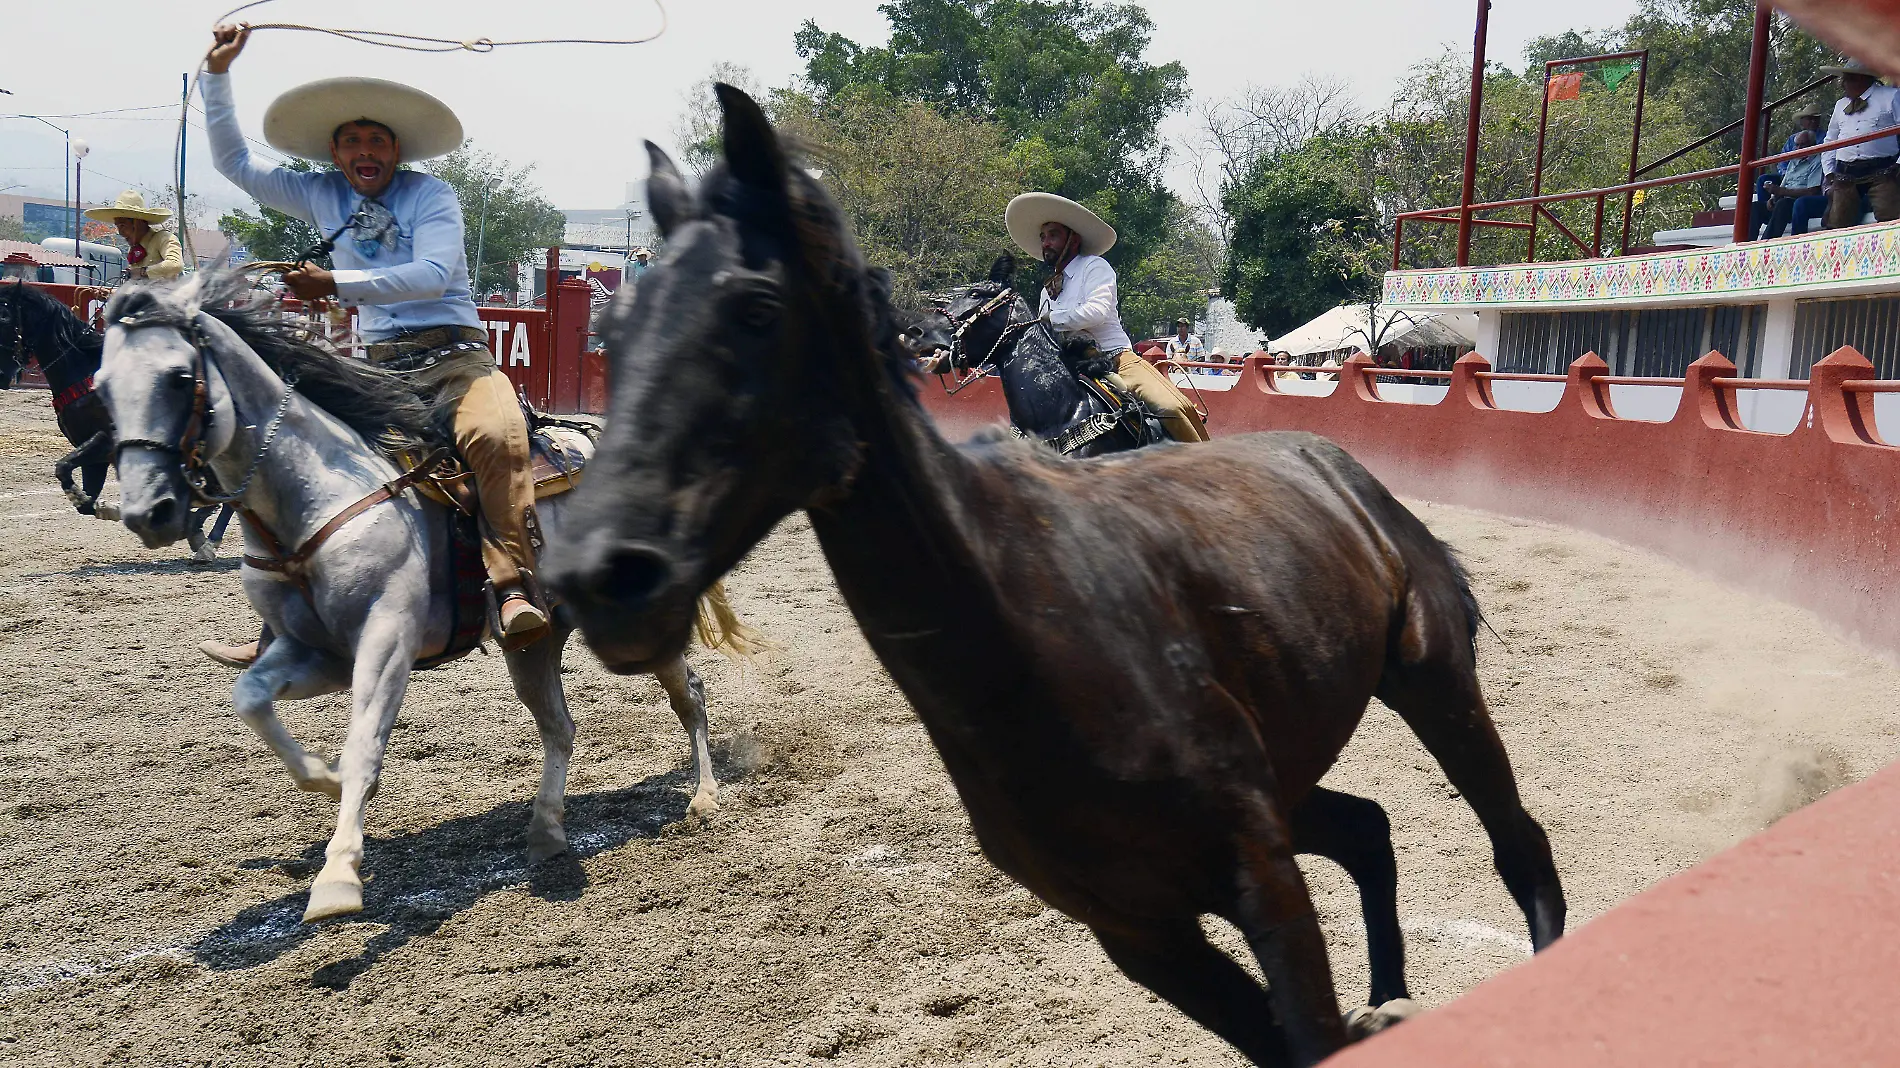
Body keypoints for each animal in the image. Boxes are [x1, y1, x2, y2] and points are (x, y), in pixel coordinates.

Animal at [94, 273, 741, 915]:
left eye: (180, 378)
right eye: (101, 387)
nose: (148, 511)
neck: (314, 499)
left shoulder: (387, 643)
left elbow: (364, 743)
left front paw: (338, 875)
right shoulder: (319, 653)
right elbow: (250, 697)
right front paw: (322, 778)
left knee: (690, 692)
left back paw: (705, 796)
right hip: (535, 640)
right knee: (560, 726)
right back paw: (546, 831)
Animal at [547, 87, 1558, 1056]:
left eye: (756, 308)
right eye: (618, 328)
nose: (600, 571)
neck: (1028, 636)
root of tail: (1351, 480)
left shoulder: (1258, 872)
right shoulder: (1140, 929)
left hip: (1436, 685)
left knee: (1520, 847)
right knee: (1368, 830)